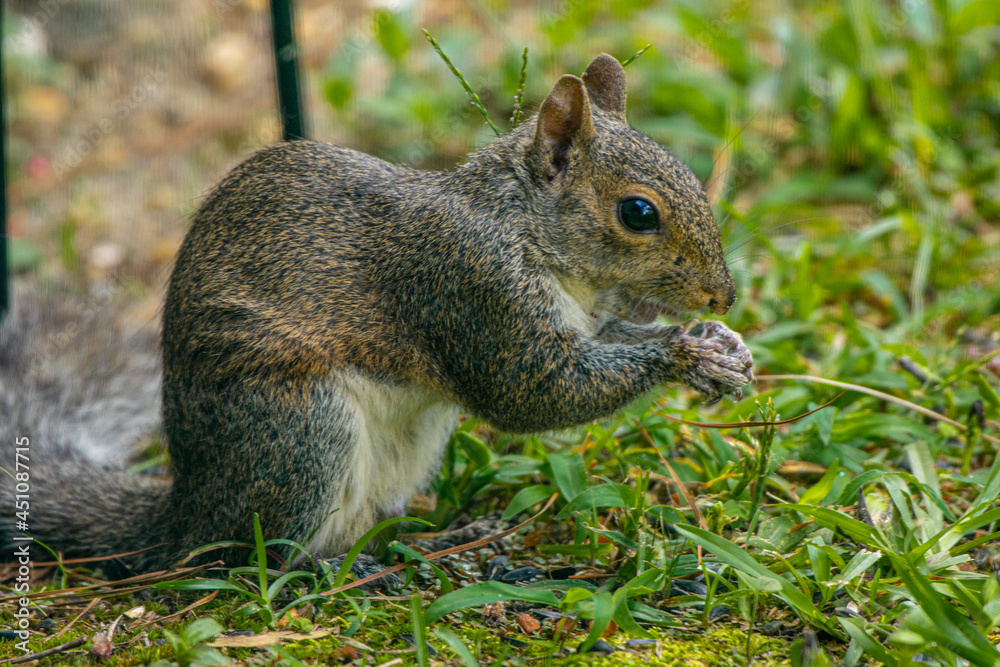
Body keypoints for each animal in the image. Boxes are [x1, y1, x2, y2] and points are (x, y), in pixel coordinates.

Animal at [1, 54, 752, 579]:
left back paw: (438, 540)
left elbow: (605, 343)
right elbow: (535, 390)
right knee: (252, 555)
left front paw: (724, 346)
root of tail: (188, 507)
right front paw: (685, 354)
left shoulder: (584, 316)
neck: (528, 231)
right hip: (296, 427)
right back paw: (332, 567)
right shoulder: (469, 285)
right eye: (638, 212)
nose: (722, 296)